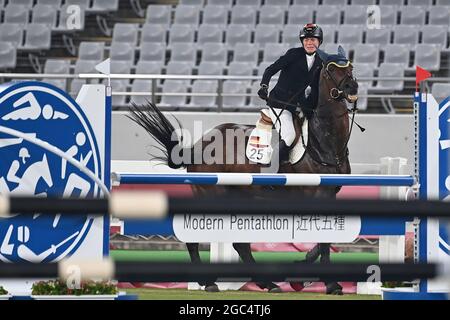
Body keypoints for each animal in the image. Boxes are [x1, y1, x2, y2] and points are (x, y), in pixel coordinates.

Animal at [129, 47, 358, 296]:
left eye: (350, 67)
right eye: (330, 70)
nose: (352, 88)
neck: (324, 140)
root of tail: (200, 143)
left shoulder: (330, 194)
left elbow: (326, 239)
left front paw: (304, 272)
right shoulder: (314, 195)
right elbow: (323, 239)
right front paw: (329, 284)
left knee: (240, 244)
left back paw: (268, 284)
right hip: (211, 195)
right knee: (199, 238)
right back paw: (209, 282)